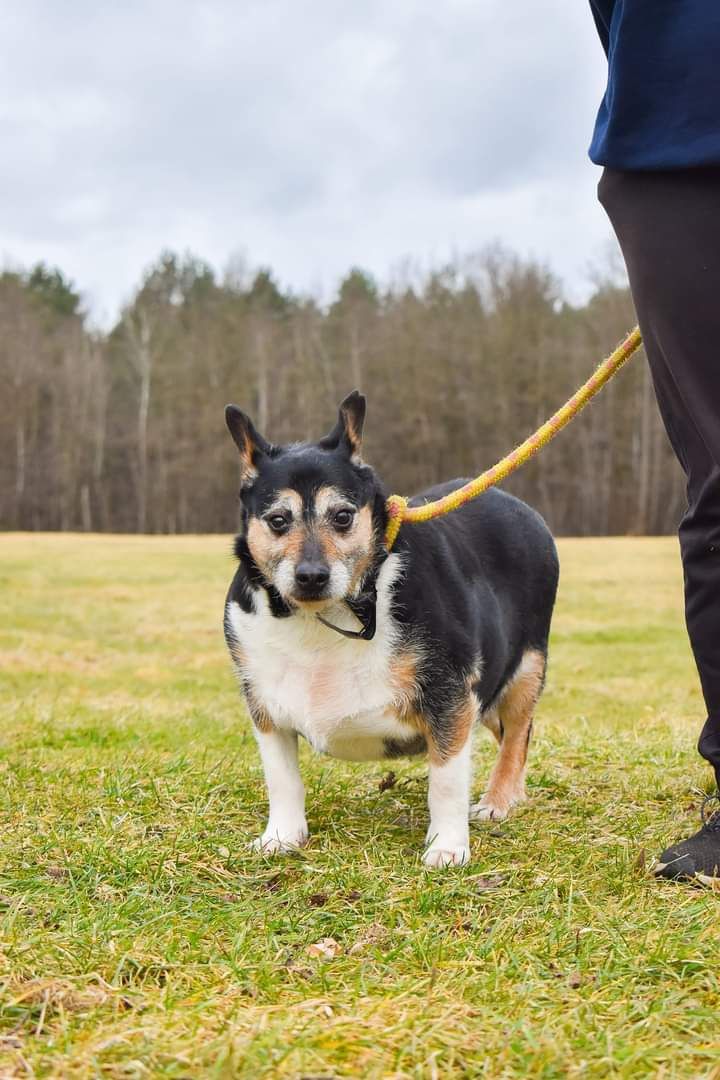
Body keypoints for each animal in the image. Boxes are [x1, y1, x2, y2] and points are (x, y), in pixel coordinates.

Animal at [222, 393, 561, 864]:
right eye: (277, 520)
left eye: (343, 516)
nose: (311, 576)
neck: (326, 615)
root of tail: (517, 504)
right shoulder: (266, 710)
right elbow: (282, 779)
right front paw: (282, 837)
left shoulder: (450, 697)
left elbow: (446, 780)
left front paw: (447, 846)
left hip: (524, 671)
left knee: (518, 734)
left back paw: (498, 800)